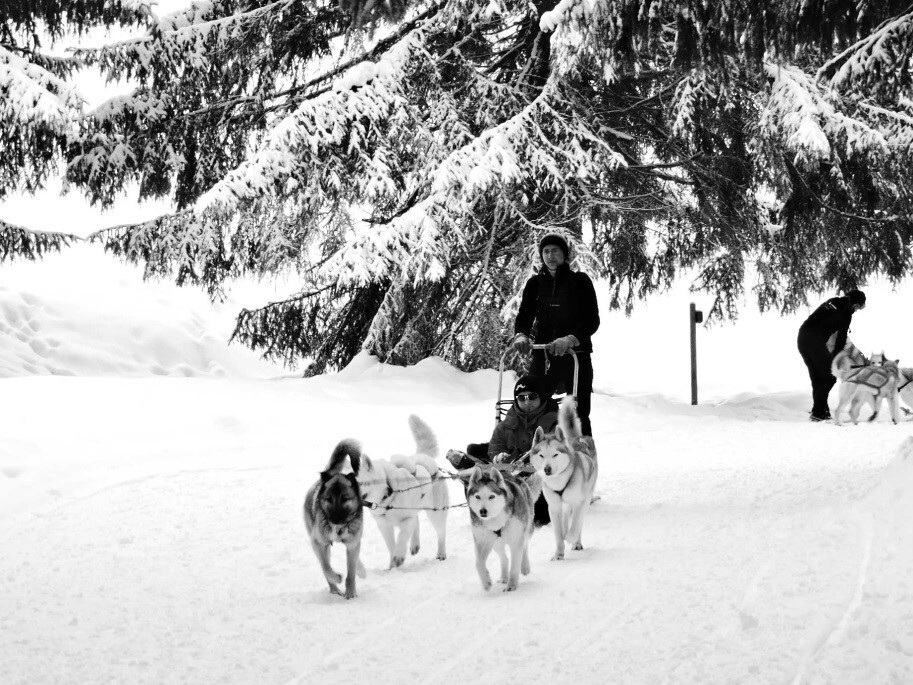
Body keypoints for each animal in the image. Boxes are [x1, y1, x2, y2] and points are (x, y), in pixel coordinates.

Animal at [302, 438, 366, 600]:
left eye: (345, 499)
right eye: (329, 499)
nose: (336, 519)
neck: (339, 528)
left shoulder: (352, 544)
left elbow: (351, 574)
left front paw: (351, 594)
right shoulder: (318, 543)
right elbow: (326, 568)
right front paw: (336, 578)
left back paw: (361, 570)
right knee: (325, 565)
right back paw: (335, 590)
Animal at [354, 416, 448, 568]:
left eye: (359, 483)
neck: (387, 495)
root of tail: (421, 457)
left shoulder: (406, 520)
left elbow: (402, 537)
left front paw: (399, 557)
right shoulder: (384, 526)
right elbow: (391, 546)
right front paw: (392, 566)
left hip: (436, 513)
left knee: (441, 533)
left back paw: (441, 554)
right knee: (417, 522)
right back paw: (415, 545)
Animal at [466, 464, 536, 592]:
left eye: (491, 496)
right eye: (477, 496)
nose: (483, 511)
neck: (495, 520)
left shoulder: (516, 539)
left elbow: (514, 566)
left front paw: (511, 586)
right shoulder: (483, 541)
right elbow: (478, 563)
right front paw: (486, 581)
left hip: (527, 528)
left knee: (525, 546)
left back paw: (525, 567)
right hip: (496, 543)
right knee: (504, 558)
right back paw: (504, 577)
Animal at [528, 396, 600, 560]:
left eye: (555, 454)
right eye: (541, 455)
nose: (547, 469)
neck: (559, 482)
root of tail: (576, 438)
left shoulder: (580, 503)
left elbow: (575, 527)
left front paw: (570, 538)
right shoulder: (554, 508)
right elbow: (558, 533)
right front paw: (558, 554)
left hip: (585, 497)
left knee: (577, 523)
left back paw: (576, 543)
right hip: (565, 505)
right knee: (566, 517)